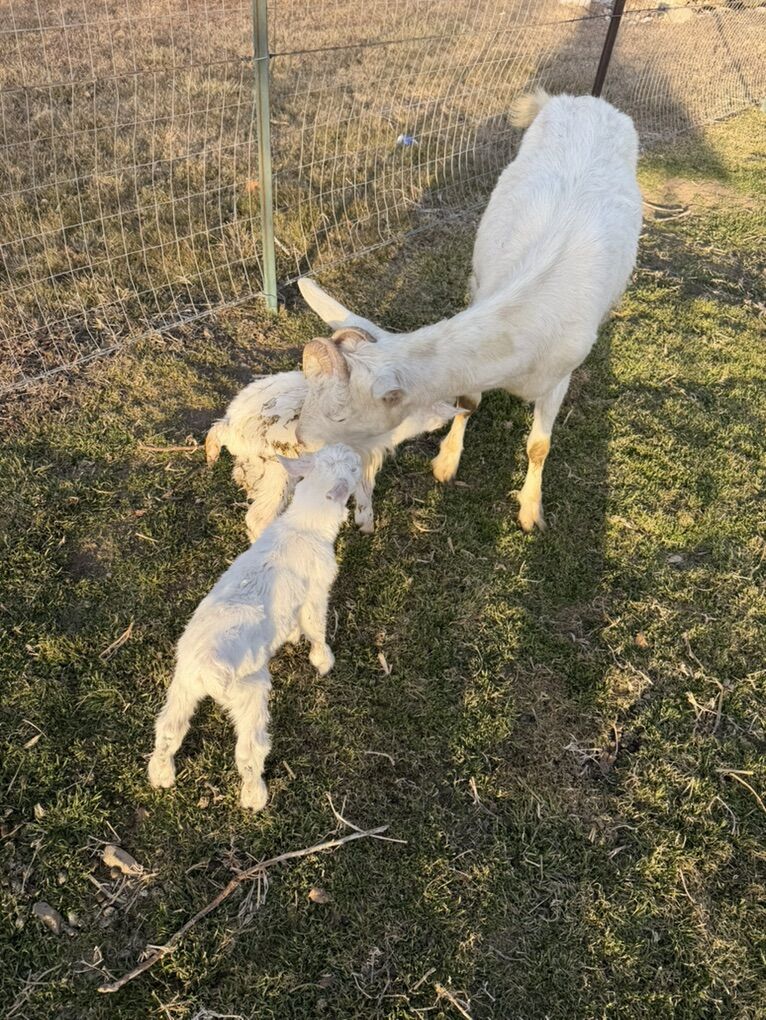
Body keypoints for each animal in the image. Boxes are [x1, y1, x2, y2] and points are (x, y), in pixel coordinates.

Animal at [147, 444, 361, 811]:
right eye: (354, 468)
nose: (358, 455)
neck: (302, 525)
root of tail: (209, 668)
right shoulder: (317, 591)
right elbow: (315, 626)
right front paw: (323, 660)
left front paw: (291, 636)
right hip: (249, 691)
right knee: (249, 750)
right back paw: (254, 796)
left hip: (183, 682)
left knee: (169, 728)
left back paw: (160, 775)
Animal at [206, 368, 463, 540]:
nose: (451, 410)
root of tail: (232, 425)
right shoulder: (364, 454)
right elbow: (365, 487)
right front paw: (366, 522)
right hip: (278, 470)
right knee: (259, 517)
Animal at [294, 91, 642, 531]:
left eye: (340, 415)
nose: (299, 440)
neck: (525, 314)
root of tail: (587, 99)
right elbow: (468, 402)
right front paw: (446, 462)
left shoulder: (560, 374)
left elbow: (540, 446)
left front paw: (531, 510)